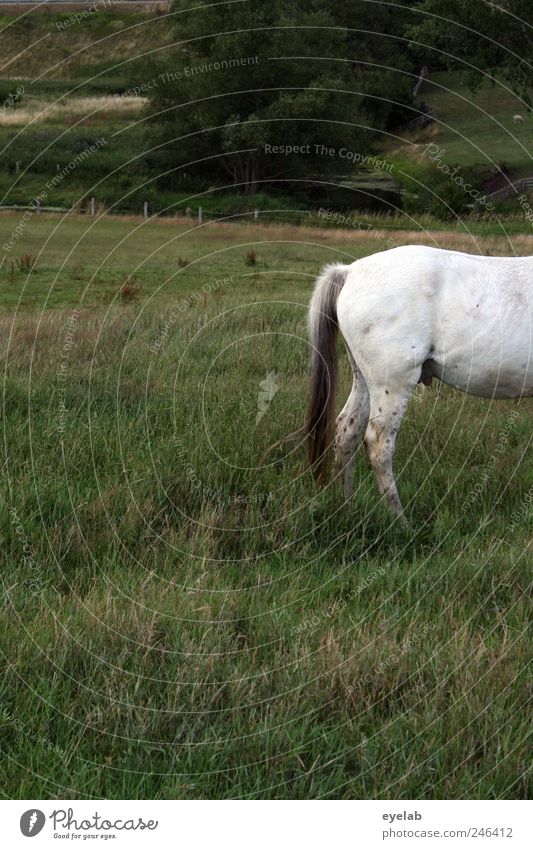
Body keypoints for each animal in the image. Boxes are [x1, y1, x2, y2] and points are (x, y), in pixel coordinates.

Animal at [306, 243, 528, 516]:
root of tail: (350, 271)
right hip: (393, 384)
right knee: (379, 446)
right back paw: (398, 519)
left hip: (365, 380)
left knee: (348, 430)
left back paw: (347, 505)